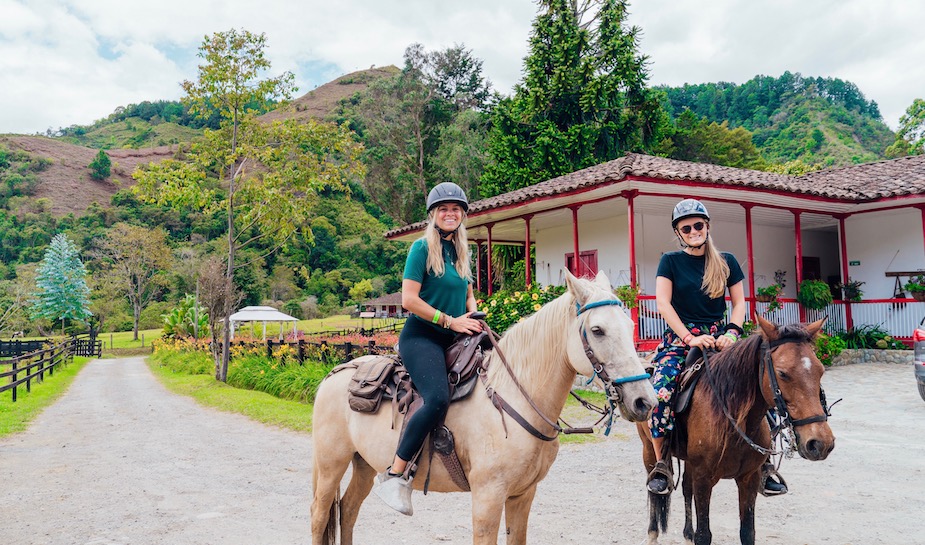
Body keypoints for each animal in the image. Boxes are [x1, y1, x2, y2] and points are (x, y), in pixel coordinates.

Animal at [310, 272, 656, 544]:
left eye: (629, 323)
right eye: (597, 330)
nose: (645, 402)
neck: (513, 398)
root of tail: (335, 374)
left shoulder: (523, 495)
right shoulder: (488, 498)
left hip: (364, 464)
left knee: (348, 512)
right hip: (330, 465)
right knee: (319, 516)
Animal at [636, 314, 836, 544]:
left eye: (820, 371)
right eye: (782, 373)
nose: (820, 443)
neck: (734, 421)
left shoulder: (749, 479)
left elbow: (747, 532)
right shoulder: (703, 479)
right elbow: (704, 535)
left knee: (686, 488)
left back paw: (687, 535)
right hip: (649, 450)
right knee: (655, 490)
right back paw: (653, 530)